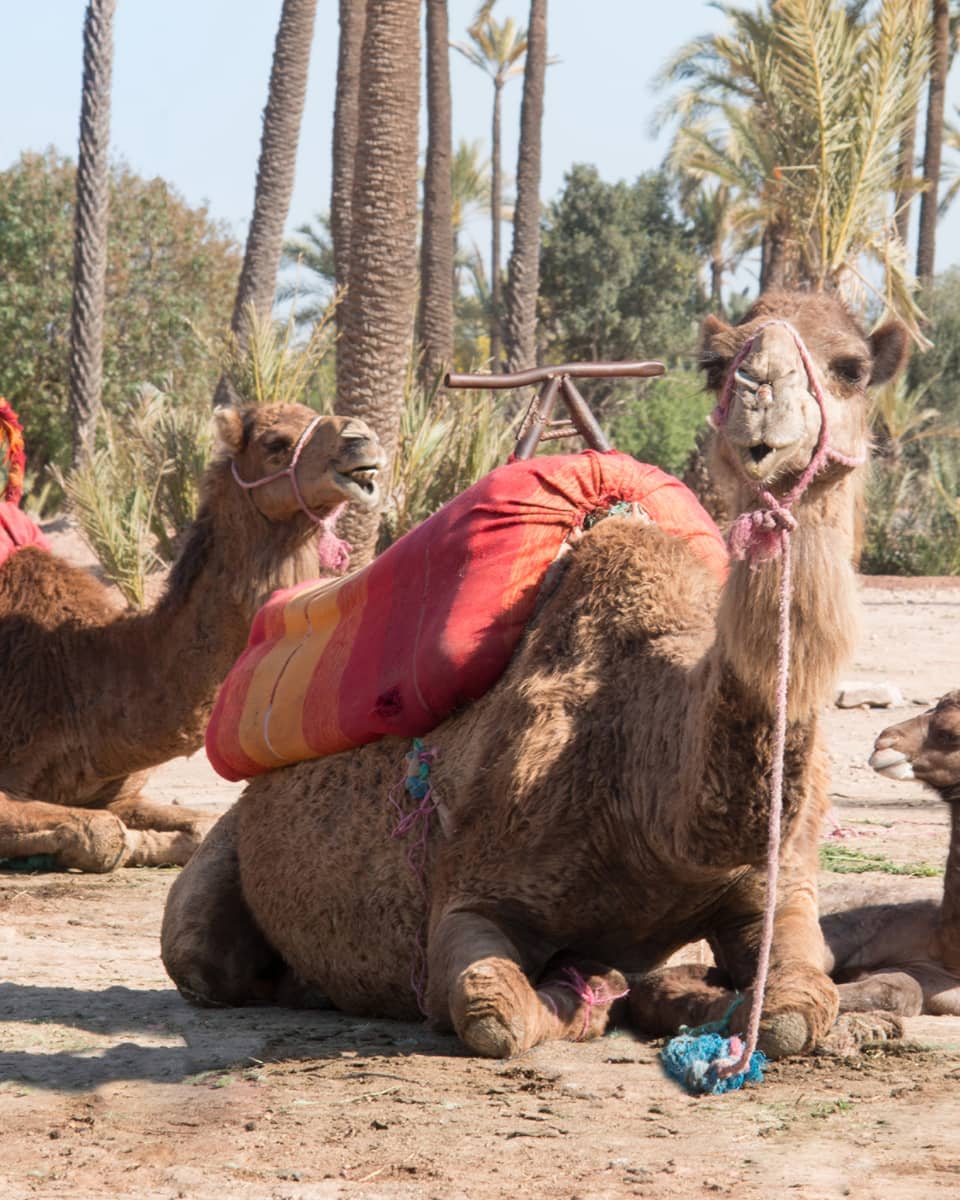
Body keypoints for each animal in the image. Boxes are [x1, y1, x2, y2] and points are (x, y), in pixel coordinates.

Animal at [0, 402, 384, 872]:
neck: (80, 670)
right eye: (275, 444)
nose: (362, 440)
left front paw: (148, 842)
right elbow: (105, 834)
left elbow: (195, 827)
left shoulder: (118, 791)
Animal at [162, 291, 910, 1061]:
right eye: (716, 365)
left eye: (852, 367)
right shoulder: (471, 895)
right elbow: (492, 1010)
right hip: (216, 873)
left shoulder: (772, 891)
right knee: (203, 954)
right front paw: (588, 988)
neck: (651, 787)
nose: (761, 395)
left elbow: (796, 1003)